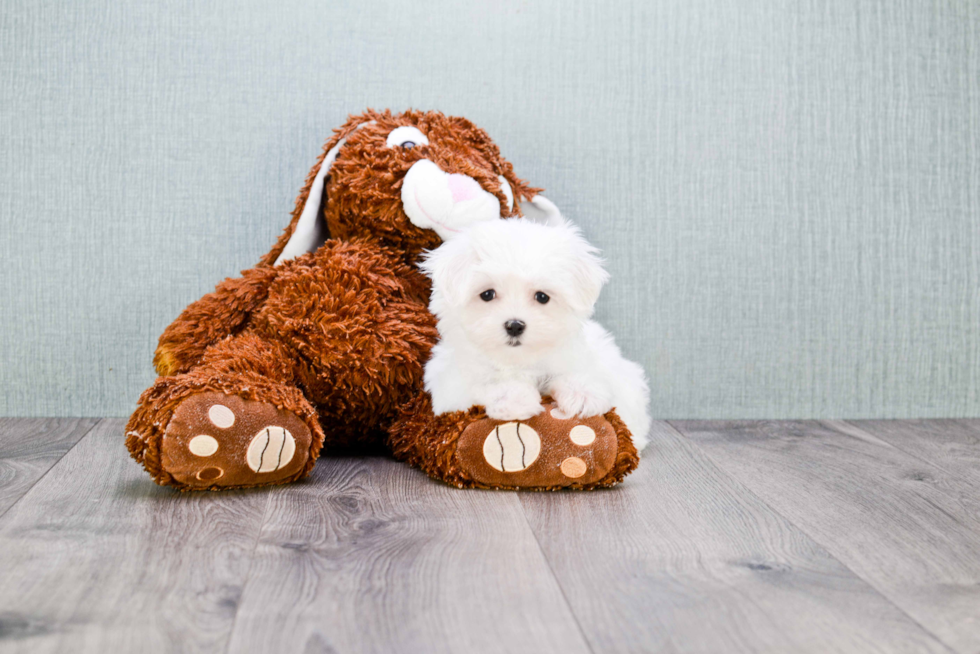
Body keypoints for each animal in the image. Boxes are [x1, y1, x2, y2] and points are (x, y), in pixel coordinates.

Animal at [422, 218, 652, 454]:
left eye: (542, 297)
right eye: (487, 294)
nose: (514, 325)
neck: (518, 360)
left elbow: (574, 372)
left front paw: (583, 395)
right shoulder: (451, 384)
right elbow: (485, 383)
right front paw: (513, 399)